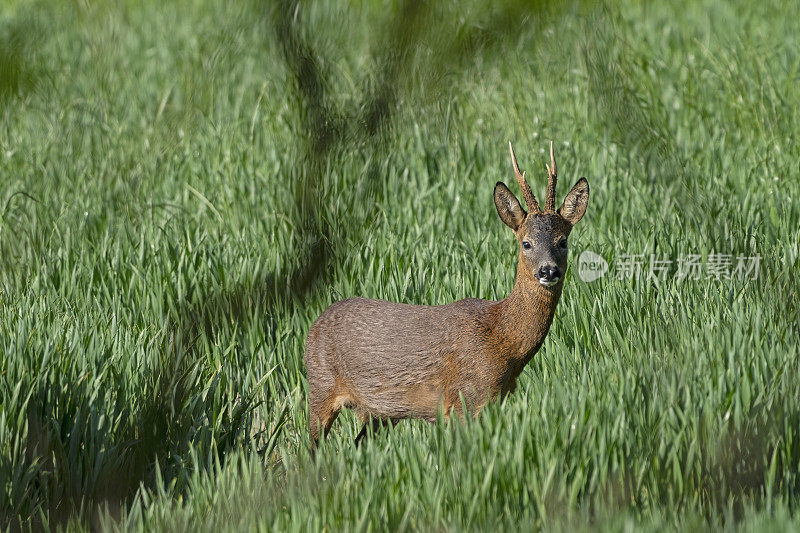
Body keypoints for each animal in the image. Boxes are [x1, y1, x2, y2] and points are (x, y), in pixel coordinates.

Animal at [304, 141, 588, 448]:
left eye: (563, 241)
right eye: (526, 243)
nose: (548, 271)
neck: (504, 341)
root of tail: (315, 323)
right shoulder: (464, 398)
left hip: (381, 413)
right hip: (320, 387)